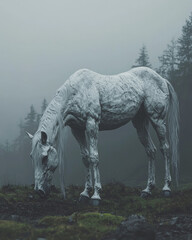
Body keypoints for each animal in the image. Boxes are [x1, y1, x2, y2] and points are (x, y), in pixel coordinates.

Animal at [26, 67, 179, 204]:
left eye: (45, 157)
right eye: (32, 157)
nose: (39, 191)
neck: (76, 92)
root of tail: (162, 79)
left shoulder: (92, 124)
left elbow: (94, 158)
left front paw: (96, 195)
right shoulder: (77, 129)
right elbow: (85, 158)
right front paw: (85, 193)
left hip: (157, 119)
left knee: (165, 148)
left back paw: (166, 188)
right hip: (140, 122)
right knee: (150, 151)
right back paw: (147, 190)